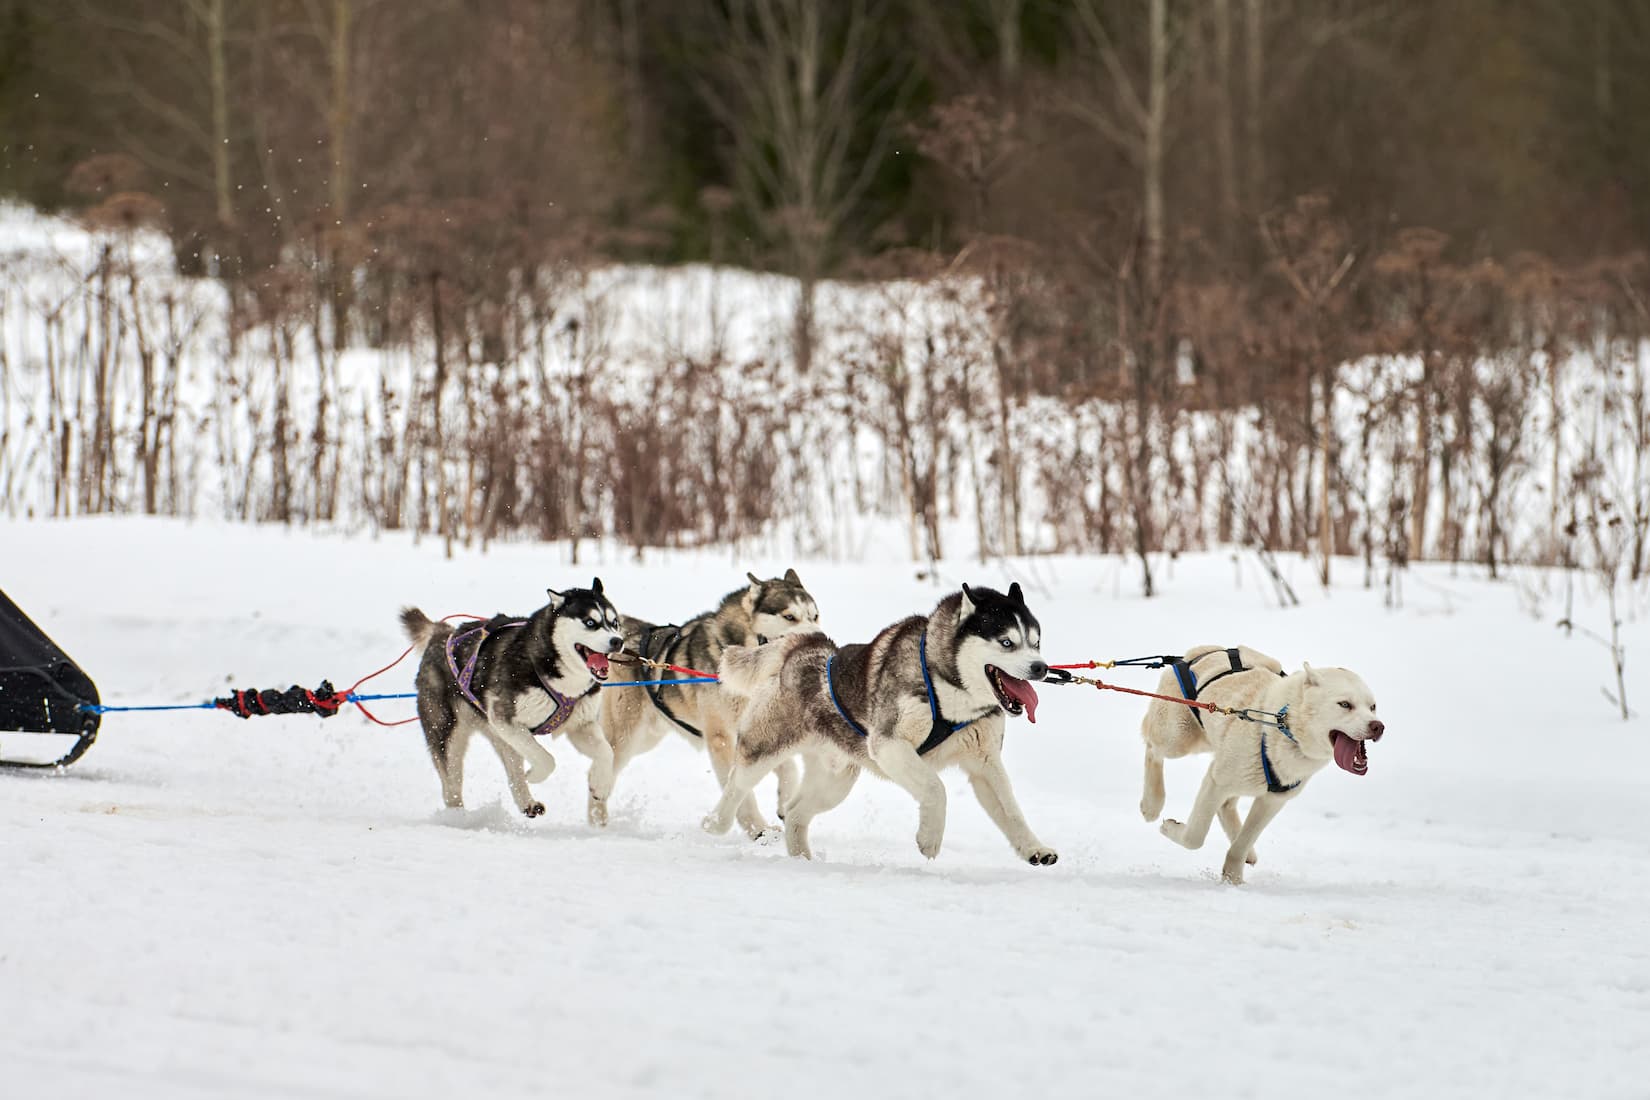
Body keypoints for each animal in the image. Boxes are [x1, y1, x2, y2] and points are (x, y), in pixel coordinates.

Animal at [400, 580, 623, 814]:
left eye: (614, 622)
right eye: (590, 622)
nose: (618, 641)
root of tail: (443, 634)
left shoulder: (580, 726)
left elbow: (607, 752)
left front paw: (600, 785)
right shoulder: (506, 720)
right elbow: (547, 759)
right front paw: (533, 775)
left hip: (499, 734)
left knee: (512, 769)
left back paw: (527, 802)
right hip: (449, 735)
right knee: (451, 788)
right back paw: (458, 817)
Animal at [574, 573, 818, 837]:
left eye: (815, 616)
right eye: (789, 616)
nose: (816, 637)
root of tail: (622, 635)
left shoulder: (760, 732)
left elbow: (789, 768)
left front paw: (785, 803)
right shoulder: (722, 739)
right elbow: (742, 791)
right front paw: (757, 829)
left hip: (647, 737)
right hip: (627, 734)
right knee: (603, 763)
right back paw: (598, 816)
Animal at [702, 583, 1049, 870]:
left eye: (1036, 642)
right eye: (1007, 642)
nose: (1041, 667)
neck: (949, 689)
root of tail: (804, 645)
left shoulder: (984, 763)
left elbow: (1011, 810)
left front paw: (1035, 848)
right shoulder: (889, 745)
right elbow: (935, 788)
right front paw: (929, 838)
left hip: (836, 781)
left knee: (796, 812)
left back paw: (803, 859)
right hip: (765, 748)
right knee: (737, 785)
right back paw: (714, 823)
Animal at [1141, 646, 1386, 883]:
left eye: (1373, 707)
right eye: (1345, 704)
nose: (1378, 726)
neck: (1284, 726)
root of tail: (1195, 654)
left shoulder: (1272, 801)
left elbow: (1242, 844)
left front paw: (1233, 880)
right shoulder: (1216, 782)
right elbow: (1195, 837)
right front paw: (1170, 828)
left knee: (1227, 806)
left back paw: (1247, 851)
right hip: (1178, 738)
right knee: (1152, 748)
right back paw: (1151, 804)